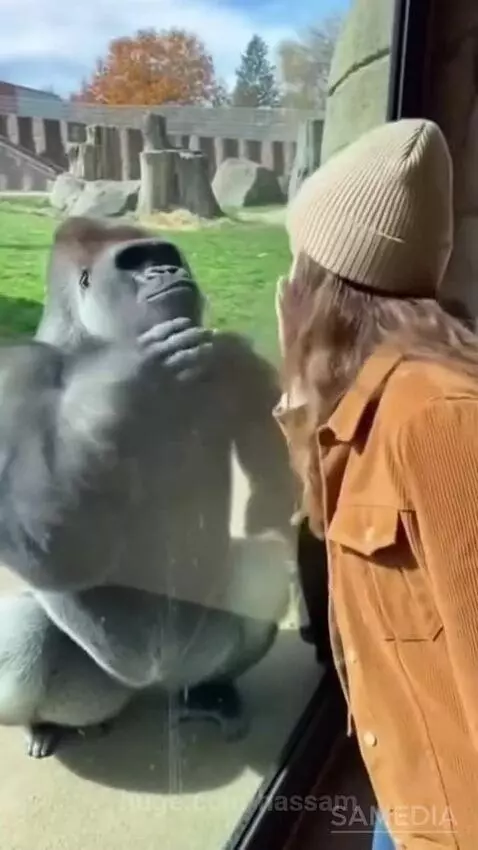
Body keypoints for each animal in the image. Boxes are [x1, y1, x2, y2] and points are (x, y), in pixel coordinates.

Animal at [0, 216, 298, 758]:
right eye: (134, 263)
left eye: (164, 255)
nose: (166, 271)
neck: (85, 341)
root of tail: (153, 688)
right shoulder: (14, 375)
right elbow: (49, 546)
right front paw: (123, 379)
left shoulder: (230, 353)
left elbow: (273, 487)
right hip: (104, 686)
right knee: (22, 634)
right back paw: (41, 723)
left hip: (193, 655)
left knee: (263, 565)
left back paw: (212, 690)